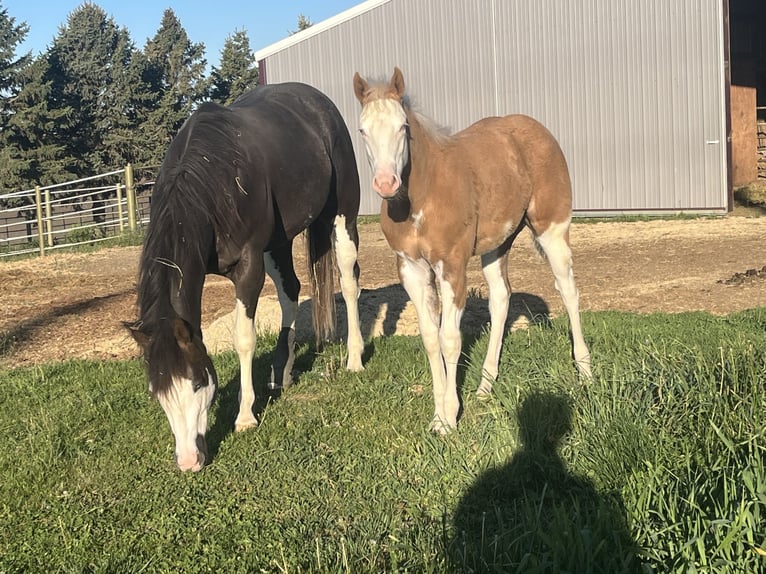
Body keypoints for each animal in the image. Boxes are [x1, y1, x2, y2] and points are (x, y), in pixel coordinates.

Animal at [126, 82, 364, 471]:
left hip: (343, 216)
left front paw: (245, 416)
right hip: (279, 241)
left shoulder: (249, 266)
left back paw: (355, 359)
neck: (212, 180)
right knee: (291, 289)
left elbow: (244, 339)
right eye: (156, 392)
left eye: (197, 383)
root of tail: (318, 102)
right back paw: (282, 373)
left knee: (348, 280)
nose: (189, 461)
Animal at [352, 67, 591, 433]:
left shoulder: (452, 264)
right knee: (501, 298)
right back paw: (485, 385)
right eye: (362, 130)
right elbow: (430, 337)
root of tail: (537, 129)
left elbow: (450, 338)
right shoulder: (411, 268)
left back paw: (585, 371)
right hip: (498, 243)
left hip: (553, 229)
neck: (423, 196)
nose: (385, 183)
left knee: (568, 290)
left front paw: (449, 418)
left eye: (402, 127)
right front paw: (438, 413)